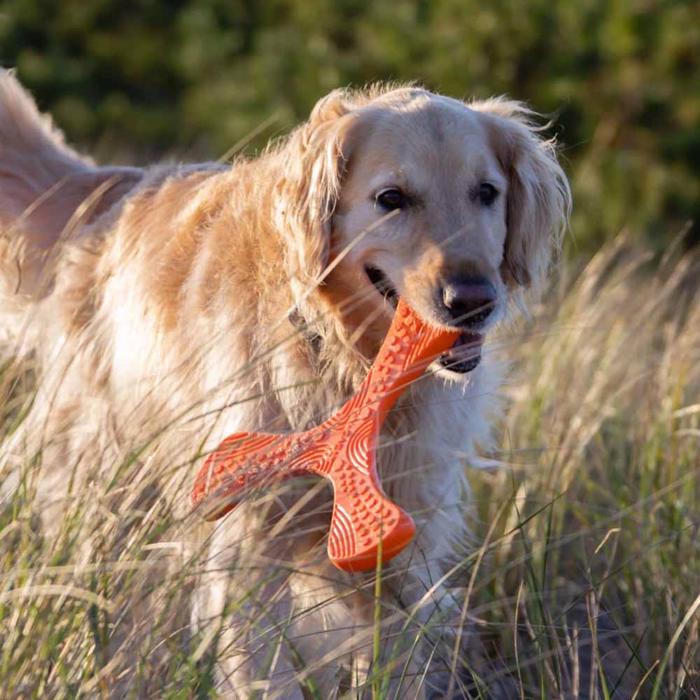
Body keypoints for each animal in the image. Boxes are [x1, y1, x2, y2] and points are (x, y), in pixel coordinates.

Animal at [0, 68, 568, 696]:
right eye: (391, 199)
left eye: (486, 192)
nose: (472, 301)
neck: (344, 361)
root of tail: (116, 186)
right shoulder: (249, 549)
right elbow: (262, 670)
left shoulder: (400, 552)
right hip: (102, 481)